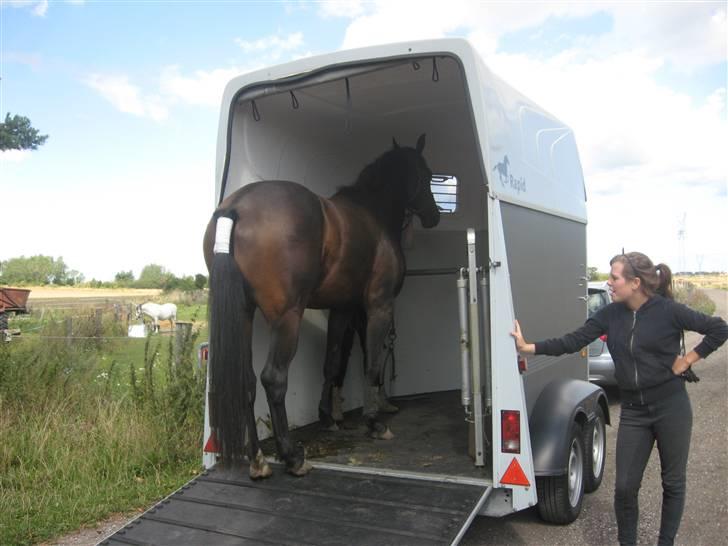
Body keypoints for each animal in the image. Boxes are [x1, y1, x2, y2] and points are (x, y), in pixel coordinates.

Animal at [203, 135, 438, 476]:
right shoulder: (378, 306)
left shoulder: (342, 309)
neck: (373, 213)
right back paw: (292, 457)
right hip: (287, 318)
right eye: (427, 174)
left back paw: (258, 459)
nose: (434, 215)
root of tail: (236, 207)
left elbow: (332, 363)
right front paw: (374, 423)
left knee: (246, 381)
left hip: (243, 315)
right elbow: (372, 363)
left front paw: (328, 417)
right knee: (273, 379)